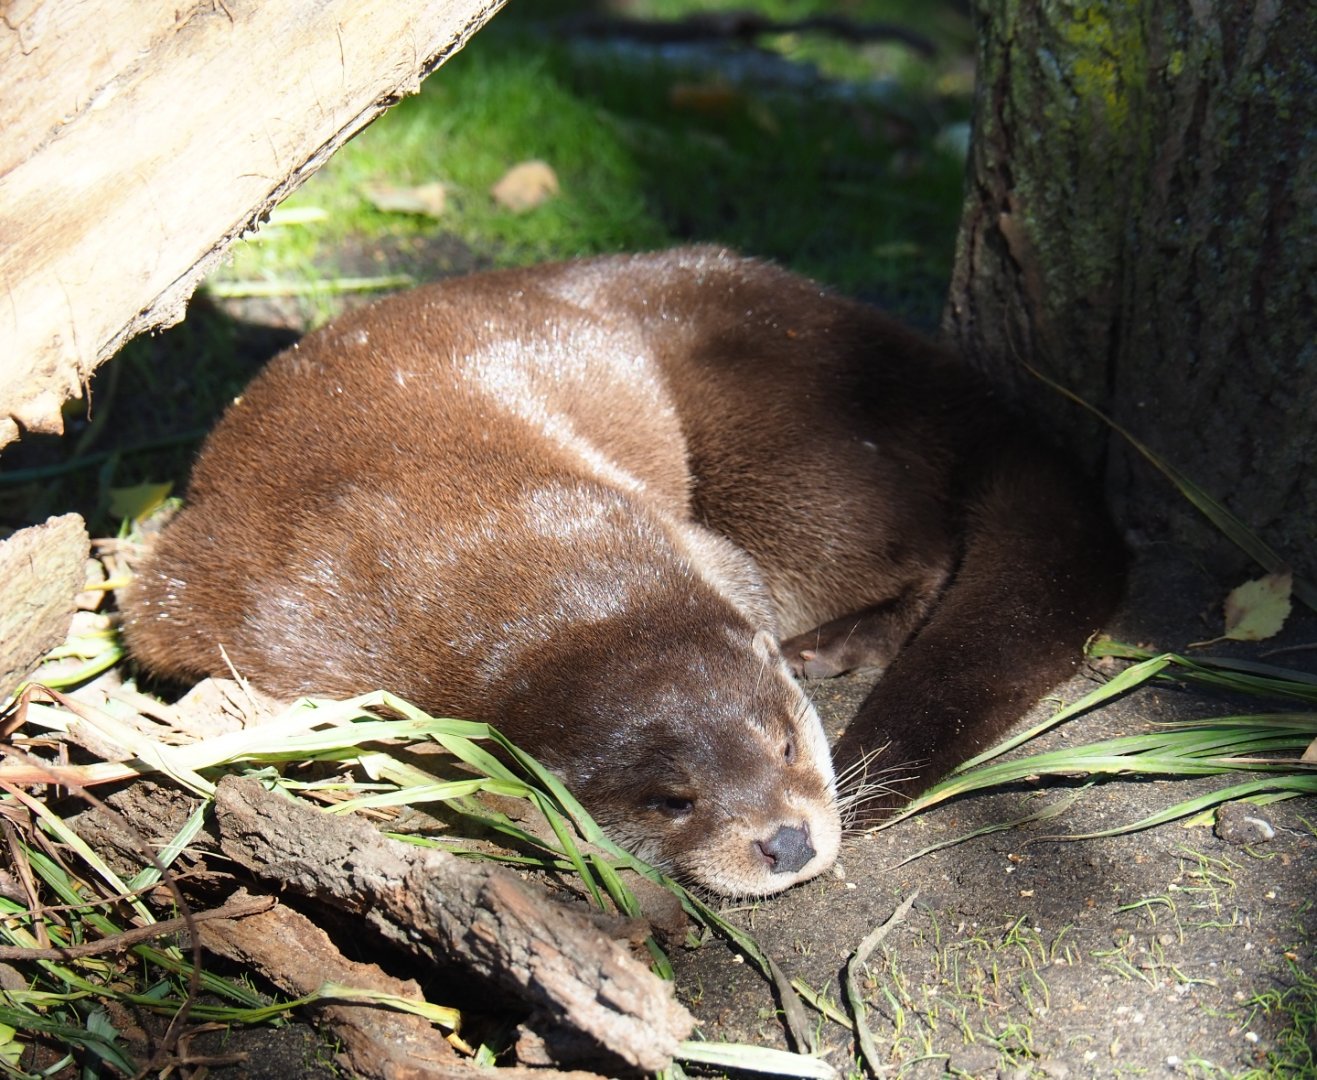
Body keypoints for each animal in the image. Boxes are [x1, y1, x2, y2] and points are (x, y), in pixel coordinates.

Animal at [120, 248, 1124, 896]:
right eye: (671, 801)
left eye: (787, 745)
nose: (787, 841)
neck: (477, 545)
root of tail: (954, 384)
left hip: (798, 461)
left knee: (922, 553)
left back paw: (839, 643)